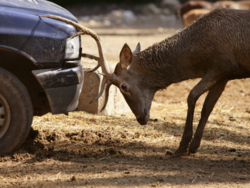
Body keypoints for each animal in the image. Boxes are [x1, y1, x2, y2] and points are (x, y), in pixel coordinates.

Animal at [41, 7, 250, 156]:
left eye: (124, 86)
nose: (141, 119)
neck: (199, 56)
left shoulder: (220, 66)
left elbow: (191, 97)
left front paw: (182, 147)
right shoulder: (224, 74)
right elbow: (208, 106)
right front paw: (193, 146)